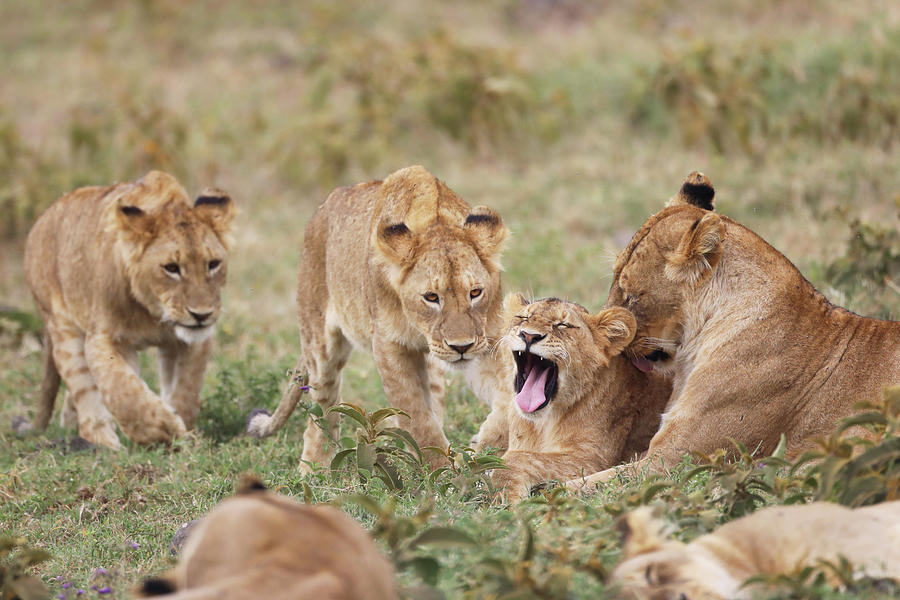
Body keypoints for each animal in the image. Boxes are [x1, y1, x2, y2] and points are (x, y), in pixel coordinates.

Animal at [492, 296, 668, 502]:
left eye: (563, 325)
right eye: (523, 317)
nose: (528, 336)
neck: (543, 423)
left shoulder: (592, 460)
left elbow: (518, 458)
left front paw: (506, 499)